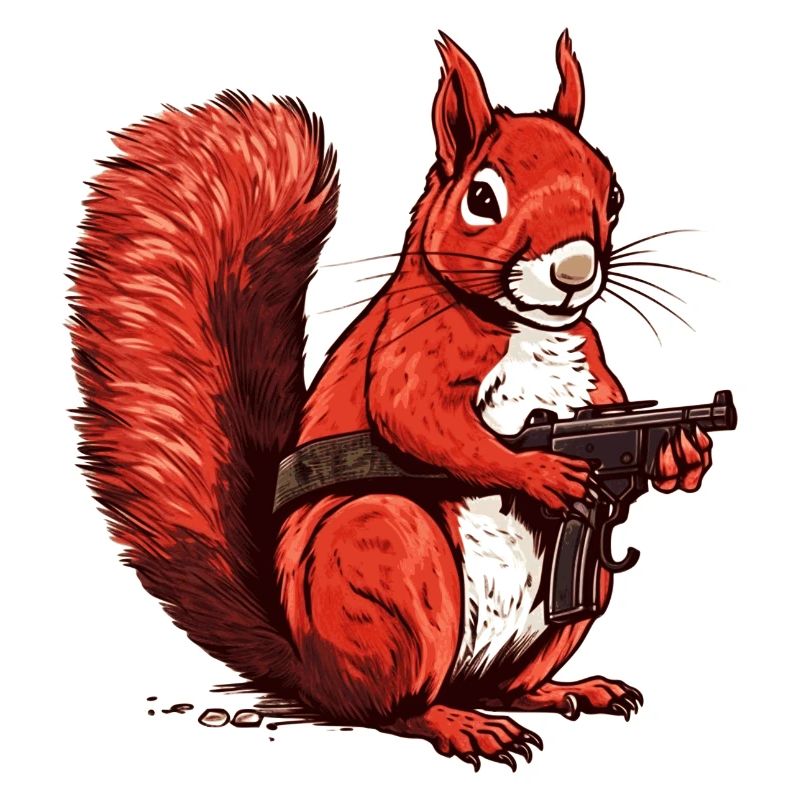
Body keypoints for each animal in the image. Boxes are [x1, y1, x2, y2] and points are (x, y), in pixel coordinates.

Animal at [69, 31, 713, 769]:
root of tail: (307, 670)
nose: (574, 271)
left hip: (571, 598)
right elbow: (420, 422)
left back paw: (566, 691)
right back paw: (461, 724)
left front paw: (685, 454)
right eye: (482, 196)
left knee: (512, 681)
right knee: (390, 708)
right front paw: (541, 472)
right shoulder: (409, 355)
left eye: (614, 192)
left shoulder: (593, 370)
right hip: (391, 548)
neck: (524, 327)